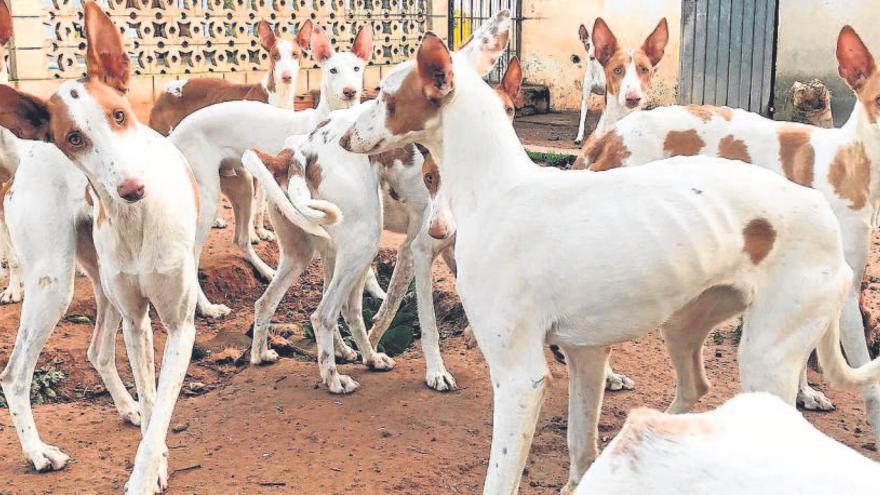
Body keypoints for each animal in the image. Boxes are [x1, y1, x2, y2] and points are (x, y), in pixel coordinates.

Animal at [170, 24, 376, 318]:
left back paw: (266, 271)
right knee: (192, 254)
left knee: (241, 238)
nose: (349, 91)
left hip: (242, 185)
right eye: (332, 70)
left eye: (357, 68)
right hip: (208, 201)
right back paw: (208, 308)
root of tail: (174, 135)